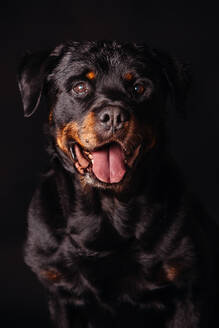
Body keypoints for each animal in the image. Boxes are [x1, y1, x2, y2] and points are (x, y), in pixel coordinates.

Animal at [18, 41, 219, 328]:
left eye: (139, 88)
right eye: (80, 87)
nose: (113, 115)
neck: (107, 210)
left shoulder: (187, 294)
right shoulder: (61, 294)